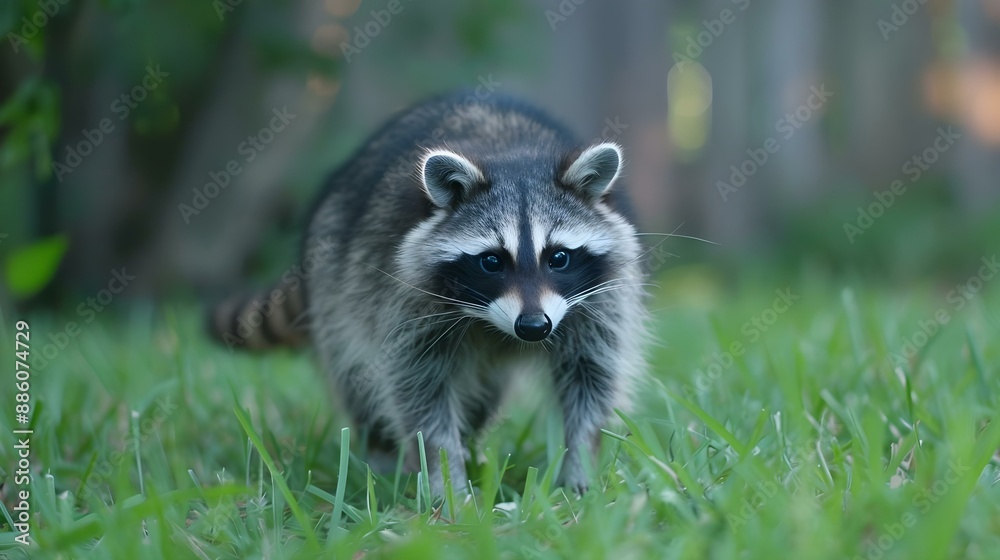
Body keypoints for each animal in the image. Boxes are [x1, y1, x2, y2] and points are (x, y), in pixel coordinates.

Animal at [211, 93, 648, 494]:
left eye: (558, 257)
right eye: (492, 261)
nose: (533, 327)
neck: (514, 156)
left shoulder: (597, 301)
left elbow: (591, 379)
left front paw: (581, 468)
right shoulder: (404, 297)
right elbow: (418, 390)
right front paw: (445, 480)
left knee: (480, 397)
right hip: (335, 288)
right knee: (358, 376)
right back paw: (382, 456)